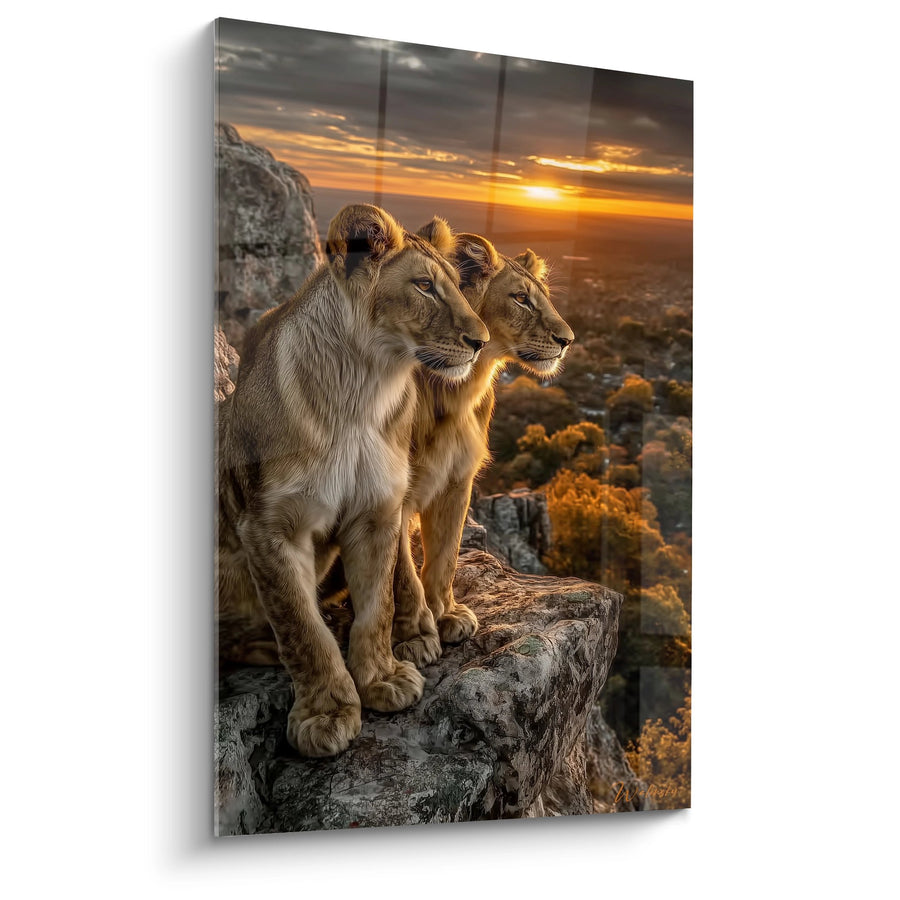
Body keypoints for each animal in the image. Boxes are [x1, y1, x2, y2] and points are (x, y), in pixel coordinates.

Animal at [217, 204, 489, 757]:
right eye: (424, 286)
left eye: (456, 285)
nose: (480, 342)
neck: (361, 389)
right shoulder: (269, 528)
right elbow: (302, 627)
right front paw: (325, 713)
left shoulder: (377, 512)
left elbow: (377, 606)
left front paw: (383, 679)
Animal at [390, 229, 575, 667]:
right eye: (521, 298)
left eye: (543, 296)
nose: (568, 341)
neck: (455, 390)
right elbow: (403, 573)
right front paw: (415, 638)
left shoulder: (458, 480)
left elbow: (444, 556)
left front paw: (446, 615)